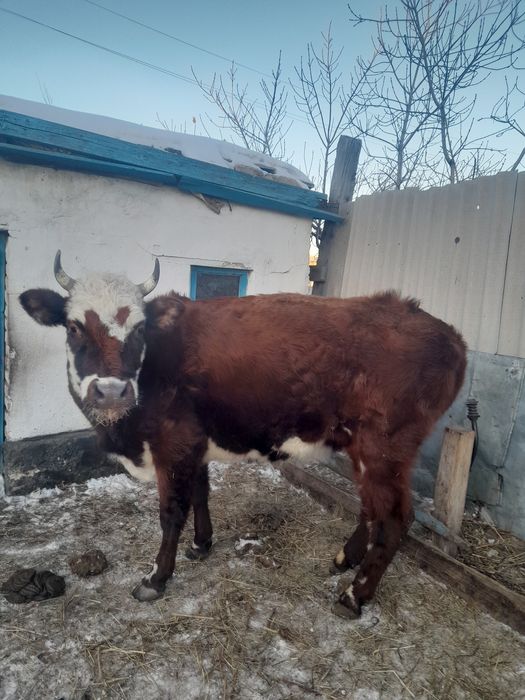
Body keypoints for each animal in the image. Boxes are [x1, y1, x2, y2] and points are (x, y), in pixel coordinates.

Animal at [19, 252, 467, 618]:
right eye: (73, 327)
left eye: (140, 330)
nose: (112, 391)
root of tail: (450, 335)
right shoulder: (193, 443)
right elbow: (200, 493)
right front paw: (201, 545)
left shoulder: (172, 444)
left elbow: (171, 512)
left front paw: (156, 578)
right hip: (363, 448)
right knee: (371, 509)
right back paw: (345, 558)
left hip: (384, 448)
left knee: (395, 518)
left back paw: (355, 595)